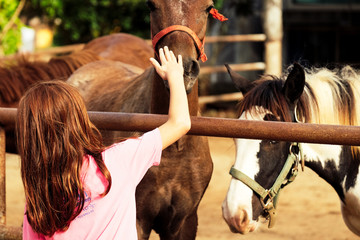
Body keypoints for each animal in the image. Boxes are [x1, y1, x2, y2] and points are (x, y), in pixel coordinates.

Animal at [67, 1, 228, 238]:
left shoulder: (185, 222)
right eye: (151, 5)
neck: (175, 149)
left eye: (208, 8)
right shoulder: (137, 220)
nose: (183, 69)